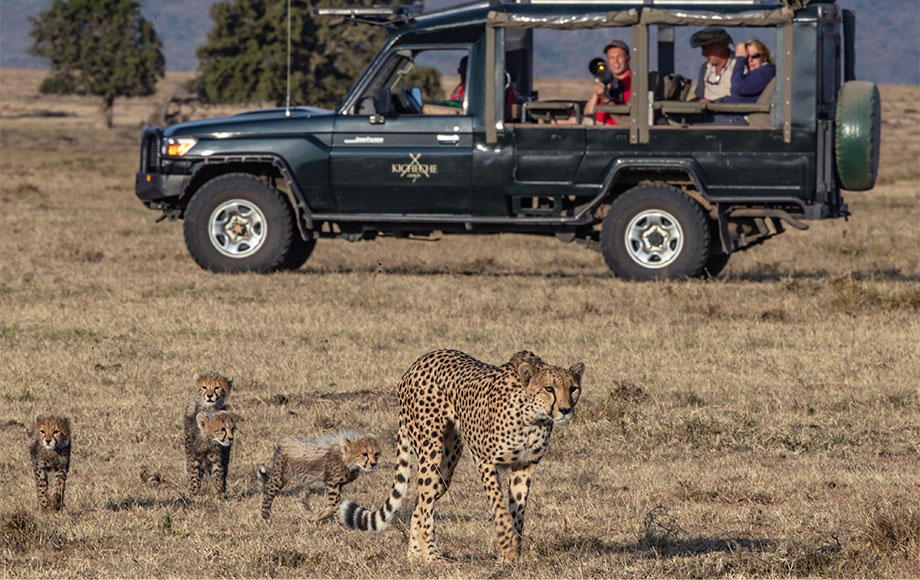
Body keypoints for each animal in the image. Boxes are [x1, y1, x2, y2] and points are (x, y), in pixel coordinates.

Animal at [336, 348, 584, 560]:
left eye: (573, 389)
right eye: (549, 388)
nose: (565, 410)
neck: (532, 417)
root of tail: (419, 361)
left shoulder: (524, 466)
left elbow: (517, 514)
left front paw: (513, 553)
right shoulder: (486, 462)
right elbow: (500, 510)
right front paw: (507, 548)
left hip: (446, 468)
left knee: (419, 504)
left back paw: (415, 556)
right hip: (430, 452)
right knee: (424, 506)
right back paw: (433, 558)